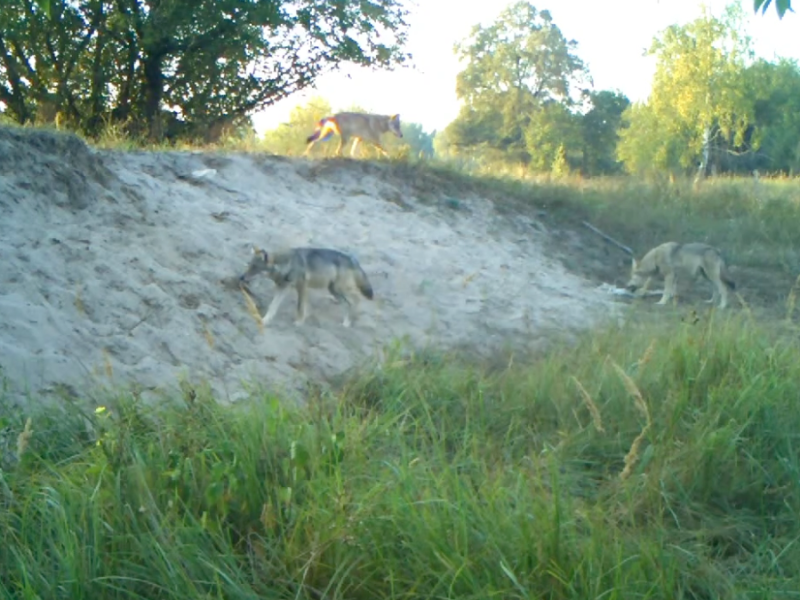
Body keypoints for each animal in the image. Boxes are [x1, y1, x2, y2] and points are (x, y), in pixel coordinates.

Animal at [238, 245, 376, 328]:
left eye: (255, 268)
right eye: (249, 266)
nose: (241, 277)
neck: (287, 264)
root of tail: (352, 259)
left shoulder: (302, 287)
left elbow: (300, 307)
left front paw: (299, 322)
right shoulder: (282, 288)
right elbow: (273, 307)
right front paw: (265, 320)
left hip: (339, 288)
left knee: (356, 299)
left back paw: (347, 322)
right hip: (333, 289)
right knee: (348, 301)